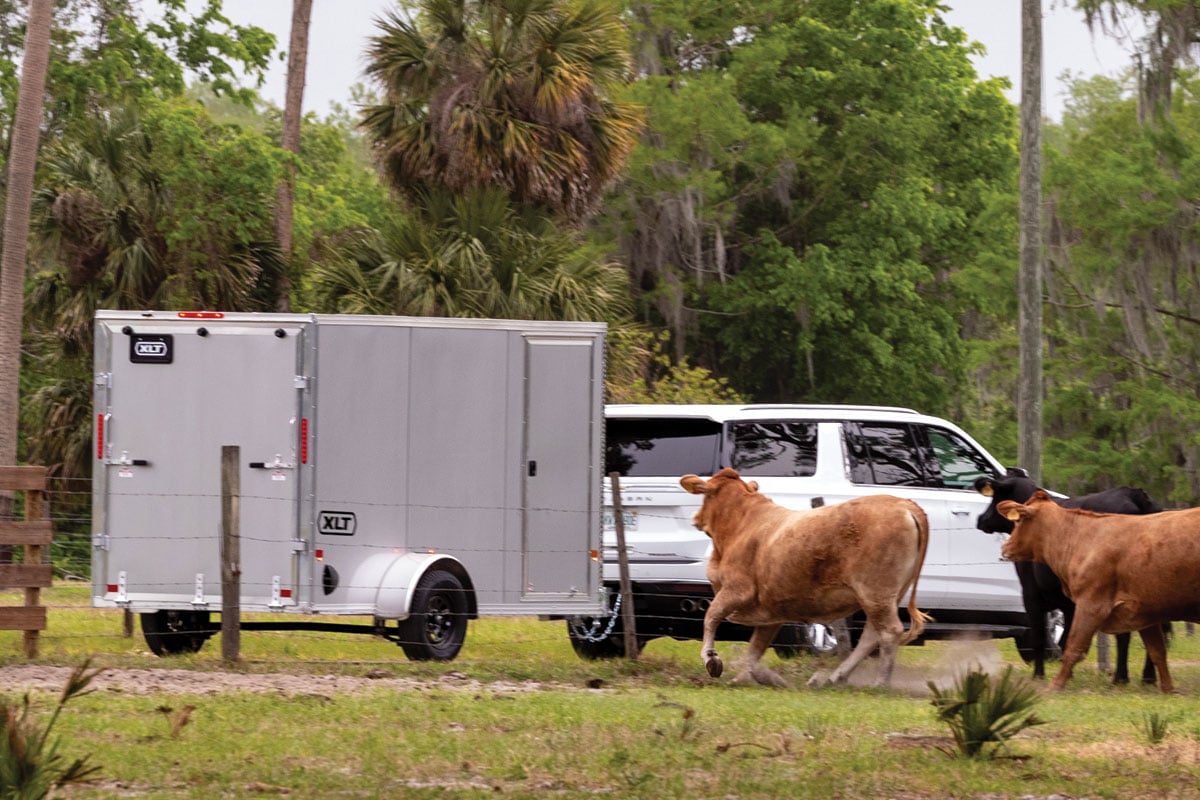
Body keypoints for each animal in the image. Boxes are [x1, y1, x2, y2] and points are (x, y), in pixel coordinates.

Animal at [679, 468, 929, 688]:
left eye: (705, 495)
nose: (696, 518)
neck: (740, 525)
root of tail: (903, 504)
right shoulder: (770, 613)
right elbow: (754, 650)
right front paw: (747, 678)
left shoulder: (736, 590)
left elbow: (711, 616)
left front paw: (711, 659)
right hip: (886, 597)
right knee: (871, 635)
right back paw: (835, 677)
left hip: (875, 593)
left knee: (888, 632)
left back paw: (880, 682)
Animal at [975, 474, 1164, 684]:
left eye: (995, 497)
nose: (981, 520)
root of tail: (1134, 494)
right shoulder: (1069, 603)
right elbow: (1068, 639)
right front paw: (1068, 675)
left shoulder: (1031, 594)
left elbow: (1039, 637)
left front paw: (1039, 675)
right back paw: (1147, 677)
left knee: (1126, 635)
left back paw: (1121, 678)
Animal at [997, 490, 1200, 692]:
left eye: (1019, 520)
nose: (1005, 547)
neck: (1082, 539)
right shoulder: (1143, 611)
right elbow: (1158, 651)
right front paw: (1168, 688)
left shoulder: (1091, 604)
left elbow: (1073, 646)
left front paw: (1056, 685)